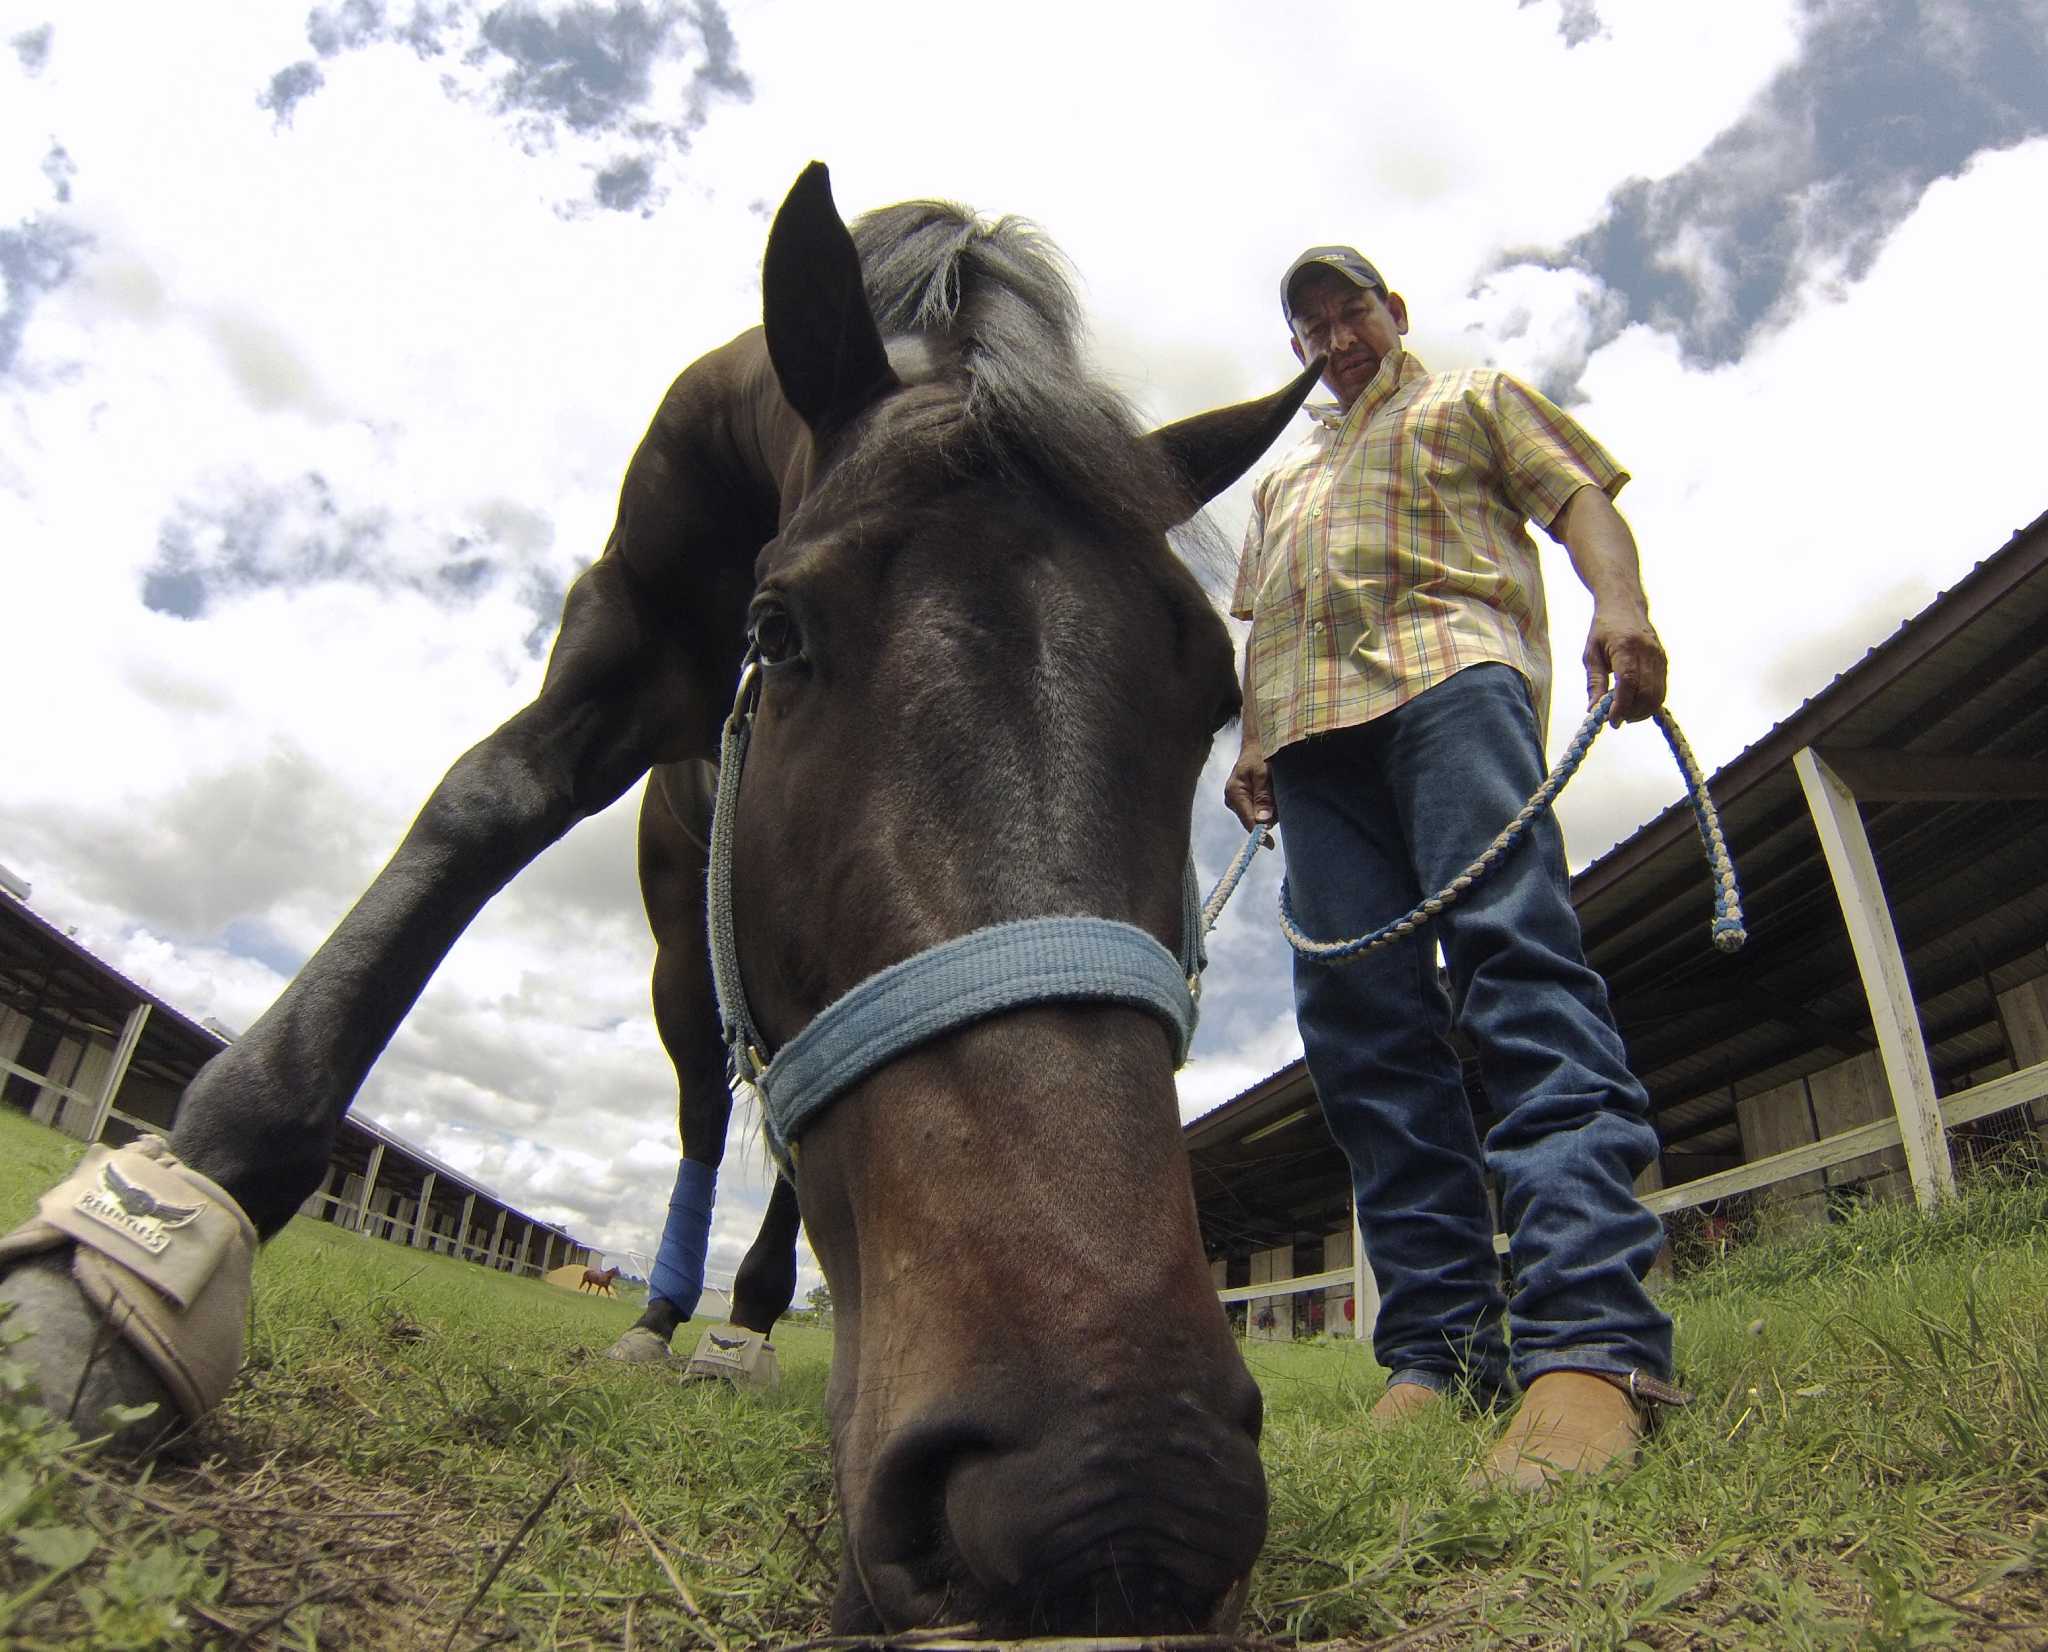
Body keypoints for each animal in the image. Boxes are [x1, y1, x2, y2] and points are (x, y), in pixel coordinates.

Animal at [0, 162, 1319, 1633]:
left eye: (1214, 696)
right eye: (776, 636)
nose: (1129, 1485)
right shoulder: (617, 638)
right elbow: (485, 799)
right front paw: (142, 1246)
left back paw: (743, 1322)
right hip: (682, 952)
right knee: (699, 1102)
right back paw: (661, 1319)